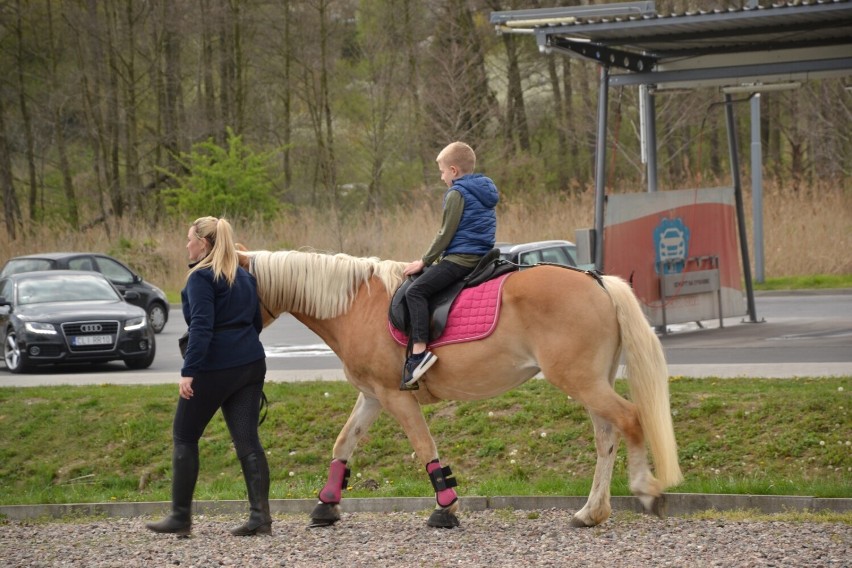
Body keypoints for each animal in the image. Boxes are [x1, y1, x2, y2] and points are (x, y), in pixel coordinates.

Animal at [241, 250, 684, 528]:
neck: (356, 306)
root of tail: (599, 282)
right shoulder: (372, 396)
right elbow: (343, 443)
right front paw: (326, 504)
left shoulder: (396, 397)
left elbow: (425, 447)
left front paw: (446, 508)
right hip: (590, 381)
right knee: (606, 436)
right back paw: (591, 512)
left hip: (581, 380)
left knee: (630, 419)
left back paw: (643, 488)